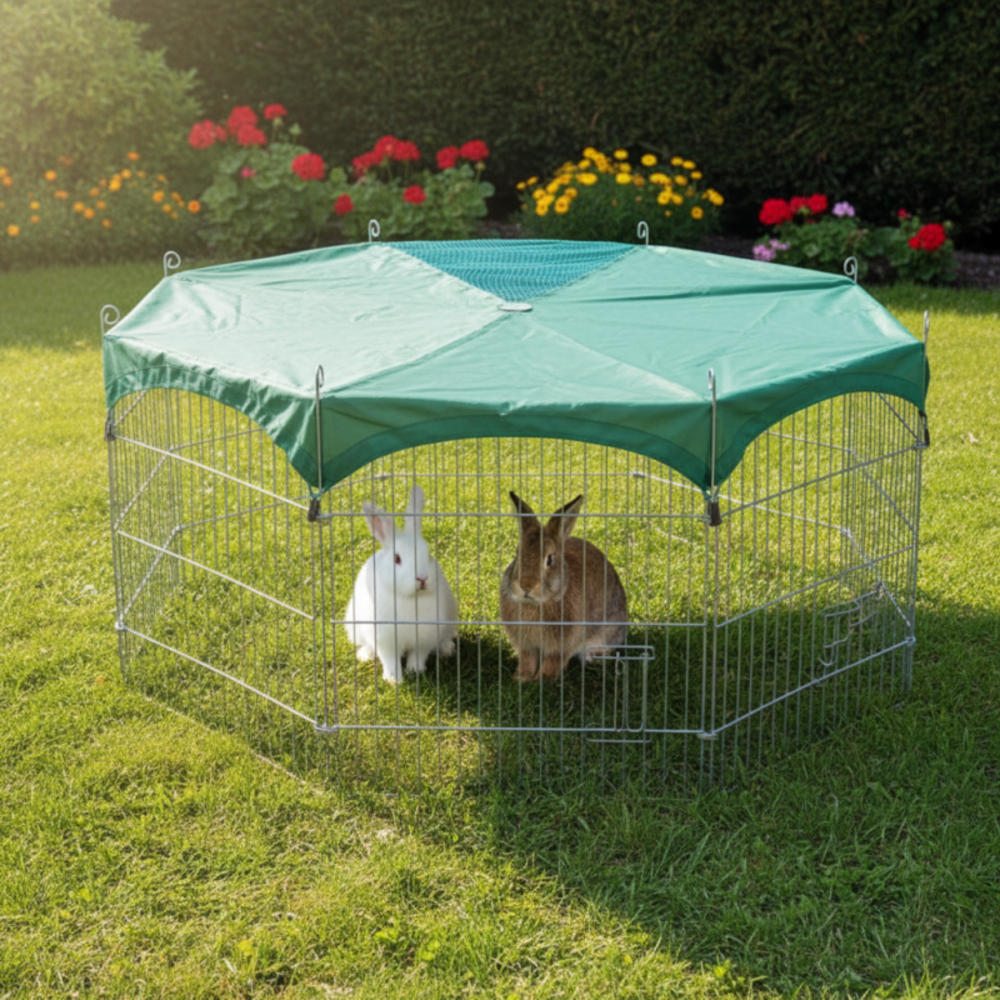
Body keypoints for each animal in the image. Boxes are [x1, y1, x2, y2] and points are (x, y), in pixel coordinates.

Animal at [344, 484, 459, 684]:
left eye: (428, 553)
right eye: (397, 559)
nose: (422, 578)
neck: (410, 598)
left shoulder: (424, 639)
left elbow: (418, 655)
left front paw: (416, 671)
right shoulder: (385, 640)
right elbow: (389, 660)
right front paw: (393, 680)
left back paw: (447, 649)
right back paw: (365, 655)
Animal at [499, 491, 628, 682]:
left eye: (550, 559)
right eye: (517, 555)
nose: (526, 586)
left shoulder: (561, 645)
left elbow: (554, 662)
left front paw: (543, 680)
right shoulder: (526, 645)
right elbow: (528, 660)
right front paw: (521, 678)